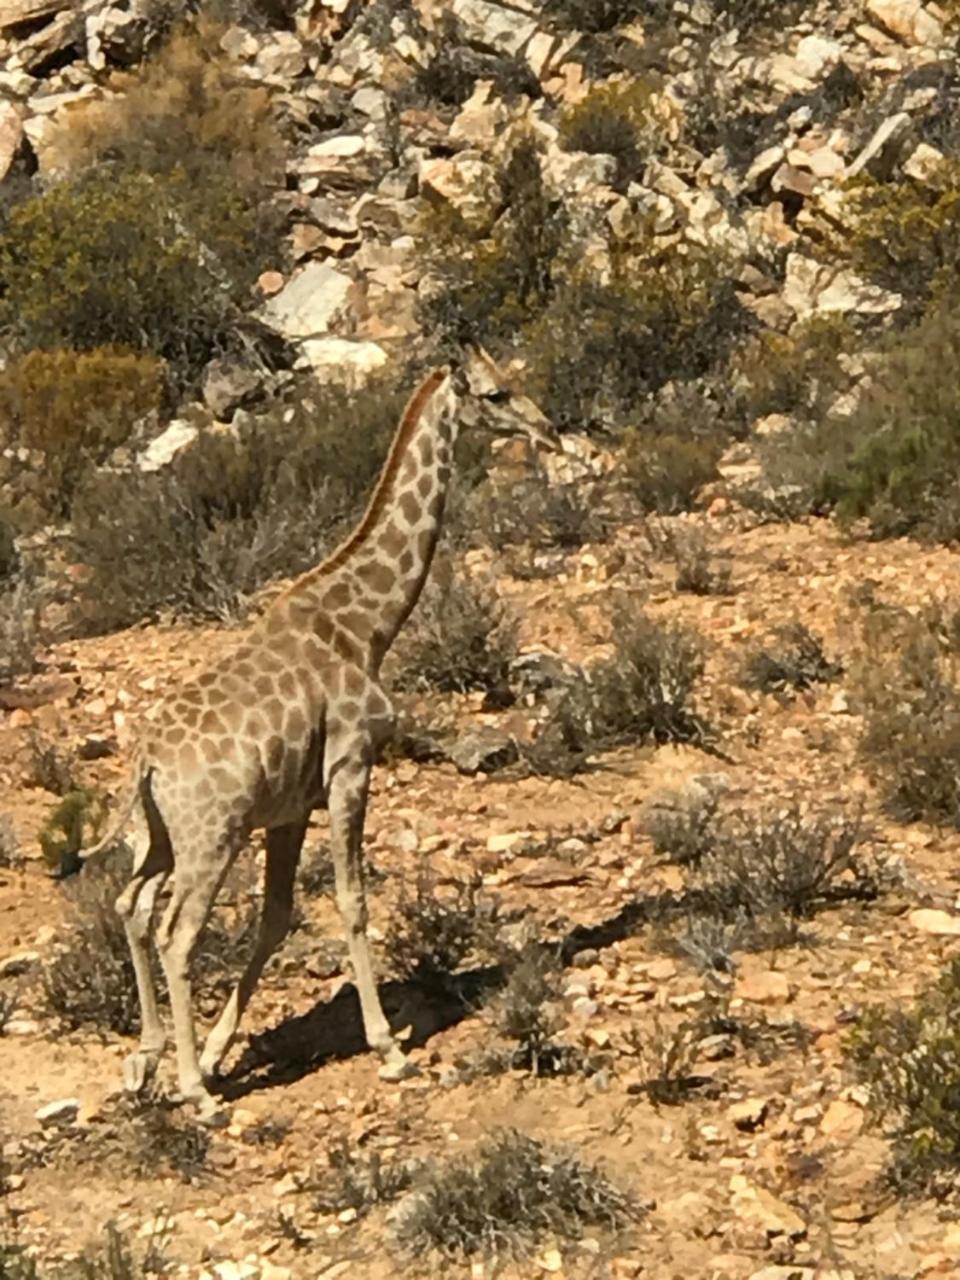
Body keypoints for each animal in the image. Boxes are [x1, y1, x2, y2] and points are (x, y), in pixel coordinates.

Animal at [82, 348, 563, 1111]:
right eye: (497, 393)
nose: (548, 431)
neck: (367, 626)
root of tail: (147, 761)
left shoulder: (289, 807)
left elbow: (278, 917)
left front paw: (218, 1051)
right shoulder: (351, 767)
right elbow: (352, 899)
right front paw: (389, 1049)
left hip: (160, 835)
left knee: (132, 907)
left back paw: (149, 1060)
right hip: (211, 837)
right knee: (177, 935)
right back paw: (194, 1093)